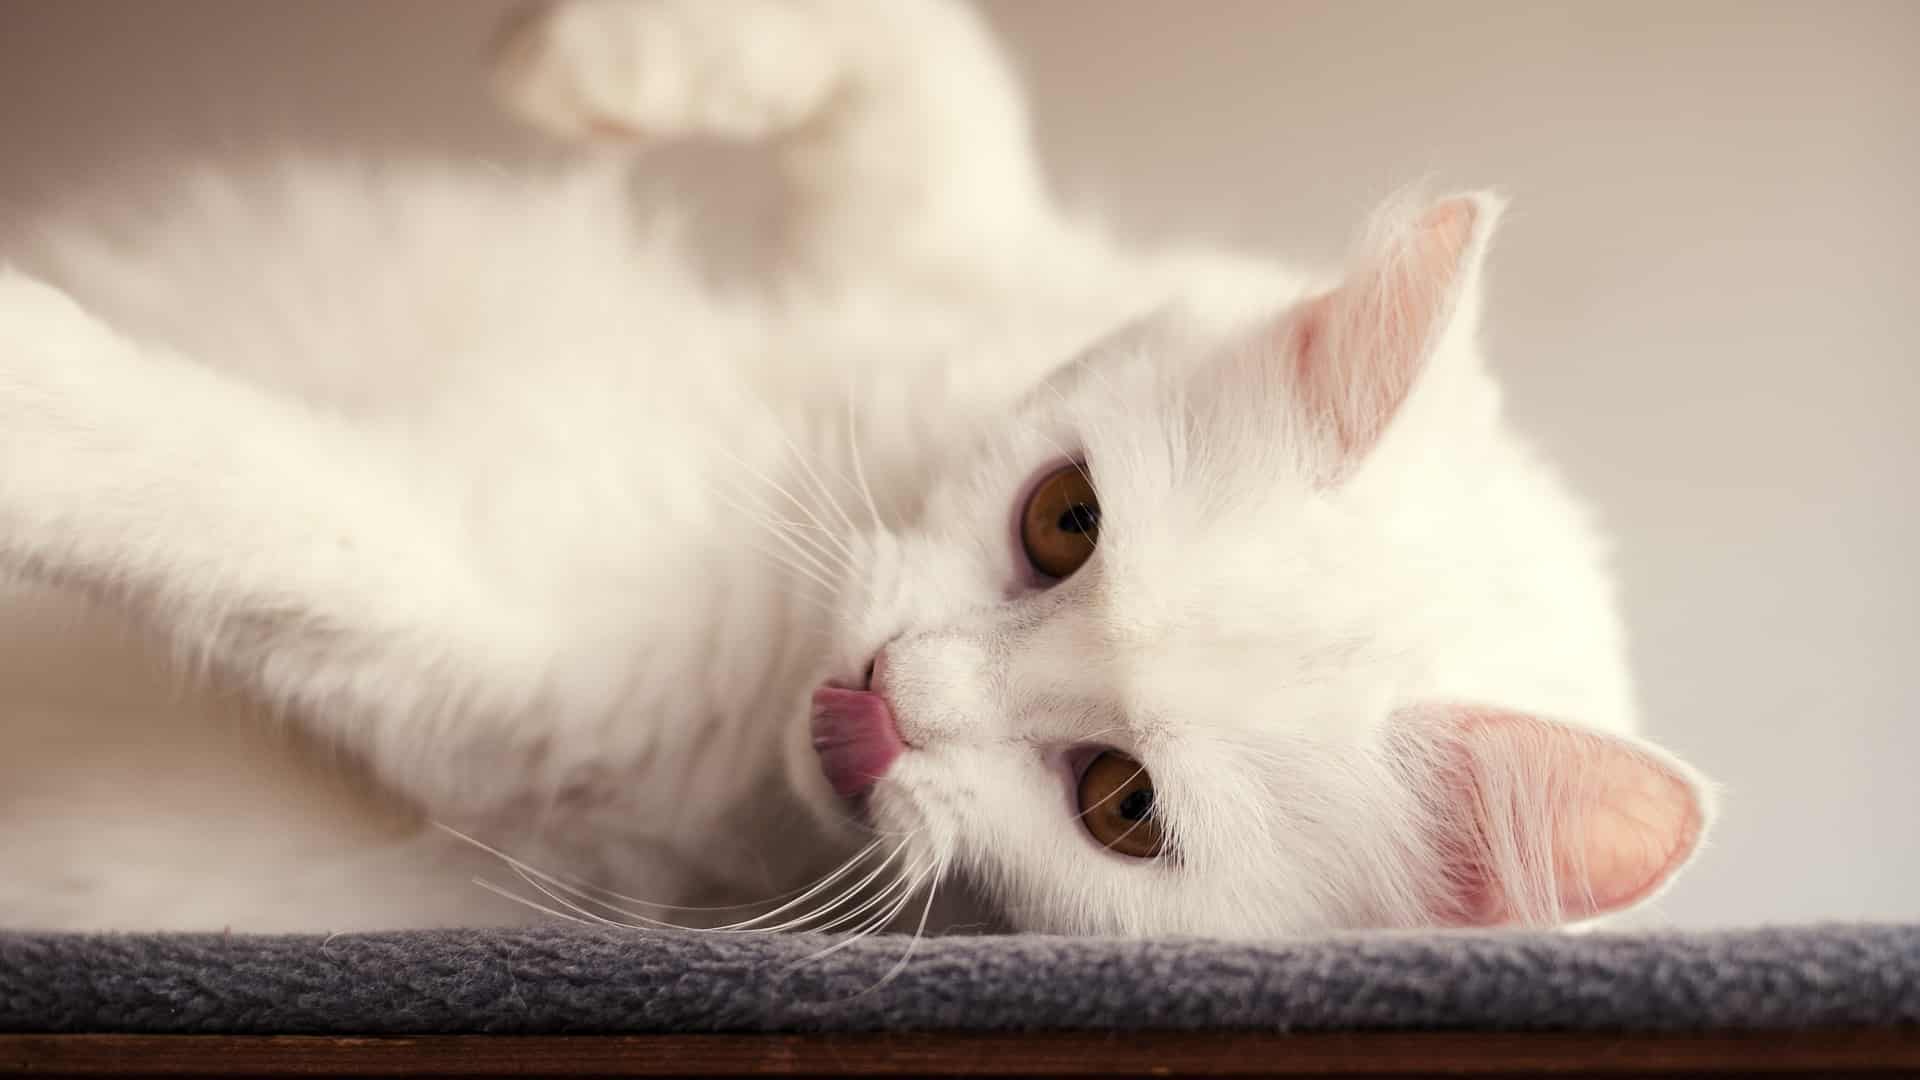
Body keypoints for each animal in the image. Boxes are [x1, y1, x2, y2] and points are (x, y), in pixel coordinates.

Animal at [0, 2, 1712, 933]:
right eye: (1064, 519)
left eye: (1123, 805)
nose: (894, 694)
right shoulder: (935, 248)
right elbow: (932, 65)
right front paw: (589, 64)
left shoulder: (523, 670)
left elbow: (245, 491)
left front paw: (35, 372)